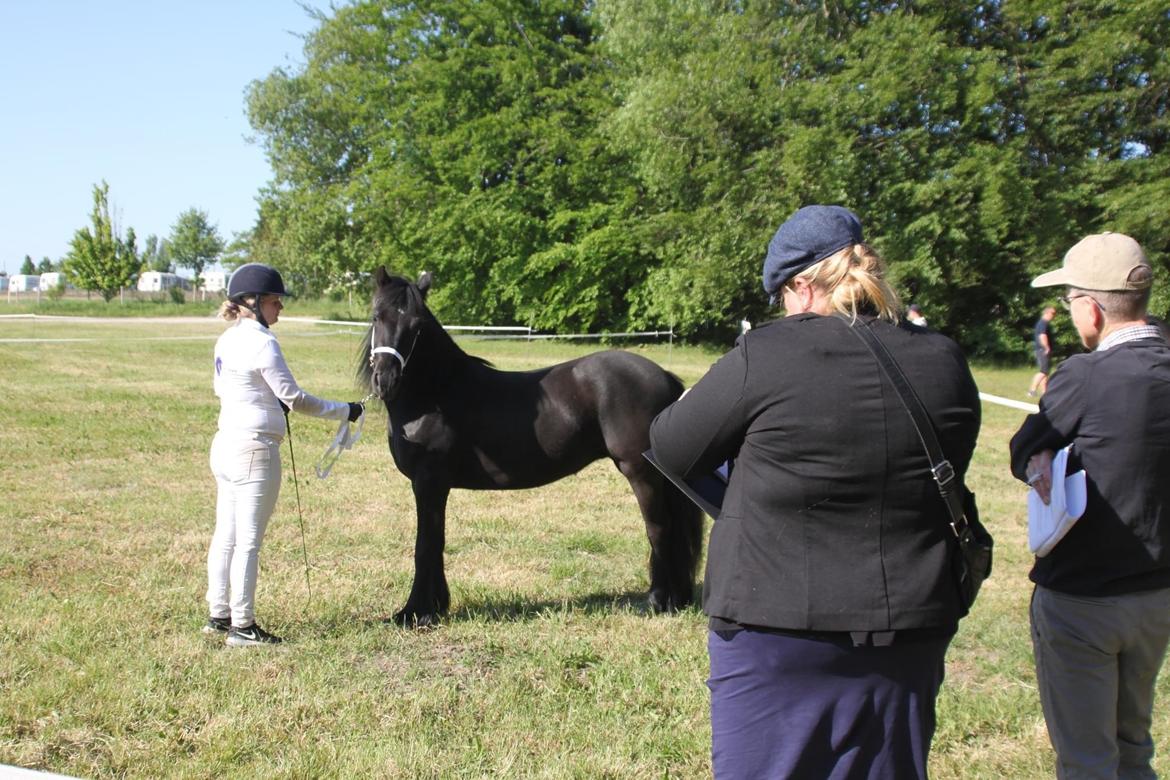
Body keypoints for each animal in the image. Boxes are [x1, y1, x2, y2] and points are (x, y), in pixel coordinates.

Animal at [359, 268, 704, 627]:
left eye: (417, 325)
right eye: (376, 316)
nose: (386, 380)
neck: (436, 393)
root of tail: (665, 376)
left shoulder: (429, 482)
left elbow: (425, 545)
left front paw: (415, 613)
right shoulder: (434, 486)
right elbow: (435, 541)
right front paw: (434, 606)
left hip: (640, 472)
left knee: (659, 529)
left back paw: (656, 601)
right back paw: (675, 599)